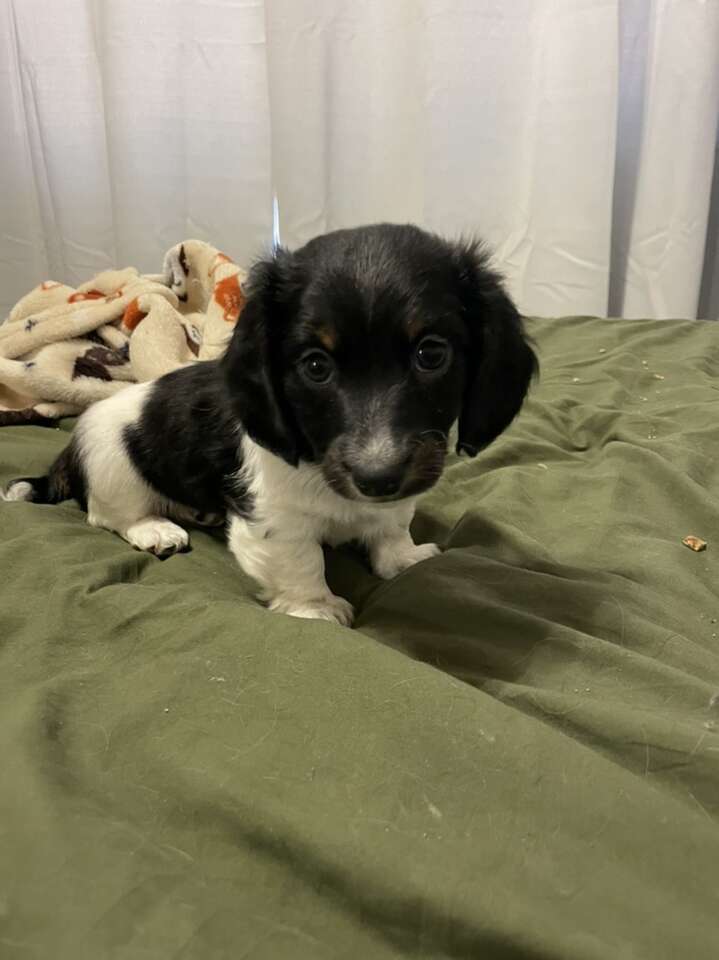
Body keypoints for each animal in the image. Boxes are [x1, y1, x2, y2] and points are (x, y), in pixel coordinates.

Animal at [2, 228, 536, 628]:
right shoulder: (273, 518)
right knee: (107, 515)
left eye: (432, 354)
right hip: (115, 468)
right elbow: (302, 560)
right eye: (316, 366)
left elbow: (390, 528)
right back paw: (155, 529)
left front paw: (402, 559)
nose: (378, 477)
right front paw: (316, 608)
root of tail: (69, 451)